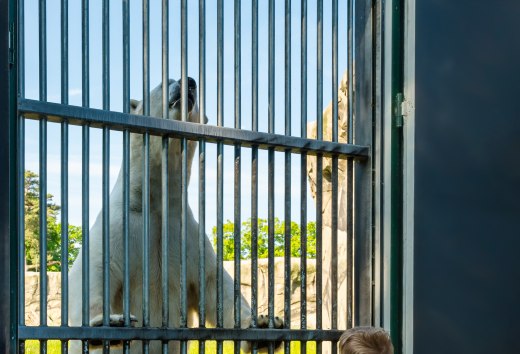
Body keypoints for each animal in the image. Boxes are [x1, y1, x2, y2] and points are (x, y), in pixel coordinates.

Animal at [68, 79, 282, 352]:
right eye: (164, 82)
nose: (189, 82)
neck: (154, 203)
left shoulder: (186, 235)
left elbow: (216, 286)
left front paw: (265, 325)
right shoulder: (118, 226)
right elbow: (94, 272)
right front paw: (109, 323)